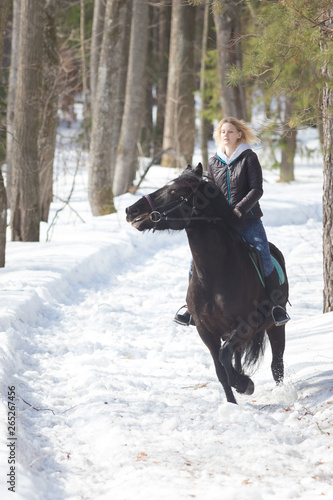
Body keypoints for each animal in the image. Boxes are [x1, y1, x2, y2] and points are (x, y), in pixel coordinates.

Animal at [126, 162, 286, 404]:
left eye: (174, 191)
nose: (131, 211)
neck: (215, 275)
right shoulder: (205, 330)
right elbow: (220, 369)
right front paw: (234, 400)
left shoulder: (247, 325)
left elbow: (225, 355)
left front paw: (244, 384)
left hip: (276, 326)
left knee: (277, 364)